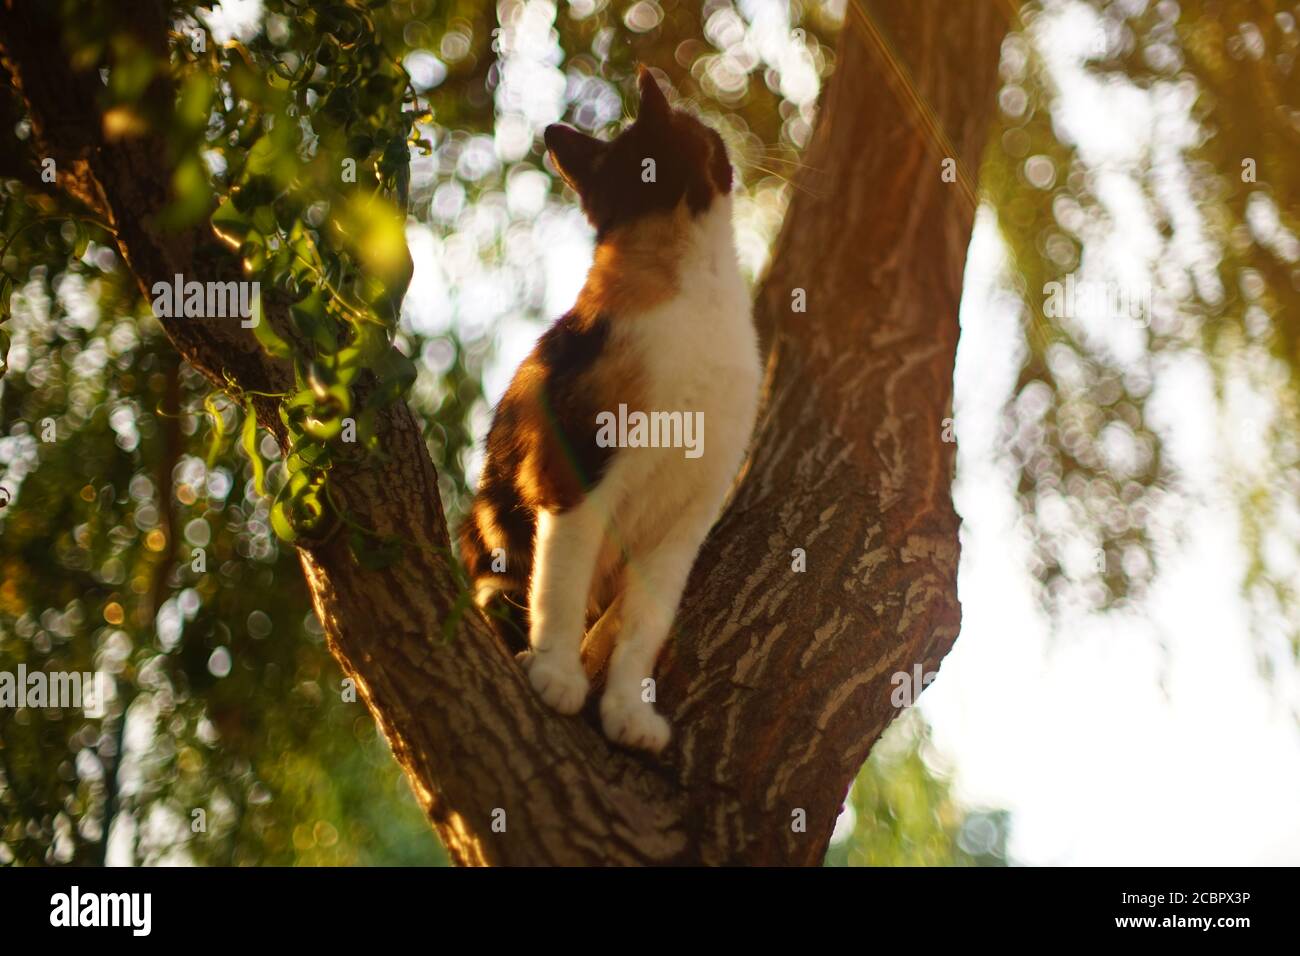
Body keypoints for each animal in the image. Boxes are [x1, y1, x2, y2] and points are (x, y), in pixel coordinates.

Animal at [457, 67, 759, 754]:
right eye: (703, 133)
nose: (726, 138)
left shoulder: (685, 524)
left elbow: (643, 630)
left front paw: (626, 710)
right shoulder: (575, 471)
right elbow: (562, 588)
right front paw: (557, 675)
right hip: (493, 551)